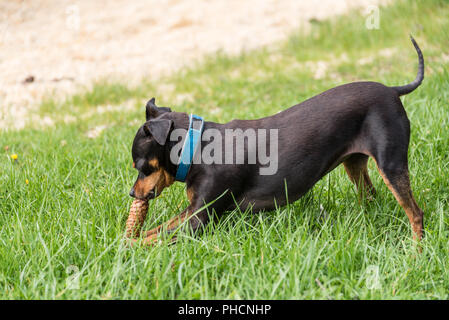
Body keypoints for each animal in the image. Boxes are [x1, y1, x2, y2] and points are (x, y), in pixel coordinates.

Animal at [129, 37, 424, 245]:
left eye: (142, 167)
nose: (132, 194)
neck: (197, 148)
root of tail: (393, 90)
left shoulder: (199, 218)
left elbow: (150, 238)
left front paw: (126, 250)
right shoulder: (193, 212)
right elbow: (152, 232)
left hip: (391, 164)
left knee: (415, 213)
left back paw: (416, 253)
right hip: (354, 165)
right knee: (372, 196)